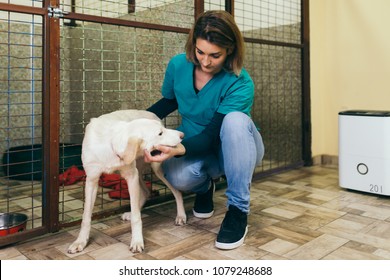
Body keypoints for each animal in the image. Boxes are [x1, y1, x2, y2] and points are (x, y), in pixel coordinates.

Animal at [67, 109, 186, 254]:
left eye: (162, 130)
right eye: (160, 133)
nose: (182, 135)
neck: (111, 142)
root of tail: (152, 114)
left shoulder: (131, 176)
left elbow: (136, 218)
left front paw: (137, 241)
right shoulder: (91, 180)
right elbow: (86, 217)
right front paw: (80, 241)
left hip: (154, 168)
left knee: (176, 191)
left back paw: (181, 215)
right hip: (139, 171)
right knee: (146, 192)